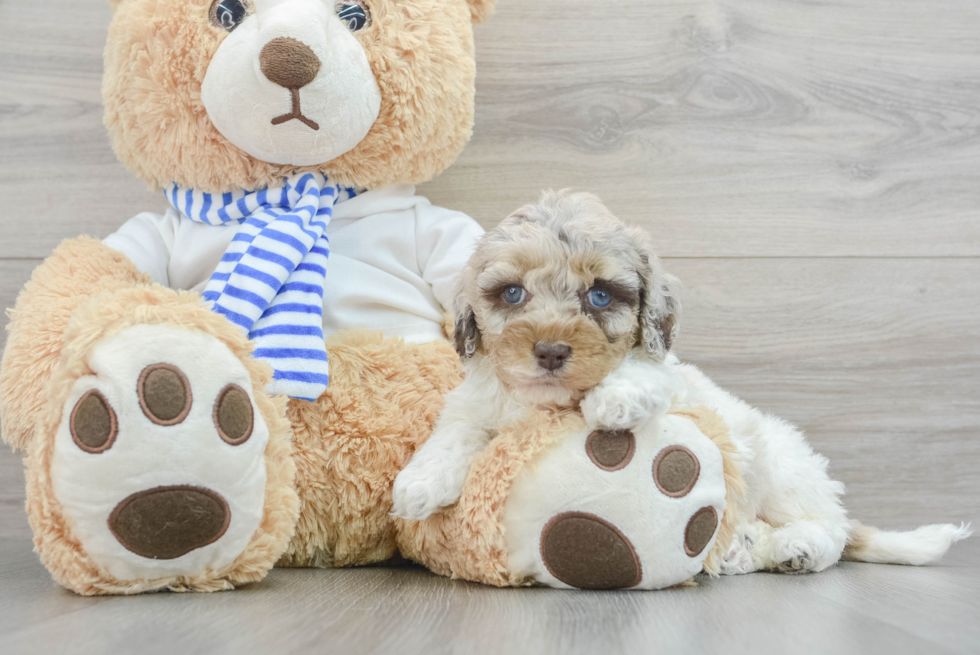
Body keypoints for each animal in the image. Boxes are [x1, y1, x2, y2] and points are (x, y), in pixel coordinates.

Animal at [392, 190, 972, 576]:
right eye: (512, 293)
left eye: (600, 296)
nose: (552, 351)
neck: (547, 404)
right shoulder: (475, 403)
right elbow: (456, 432)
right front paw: (418, 485)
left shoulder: (672, 379)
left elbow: (640, 369)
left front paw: (615, 399)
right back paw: (743, 549)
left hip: (784, 468)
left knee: (827, 528)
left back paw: (797, 548)